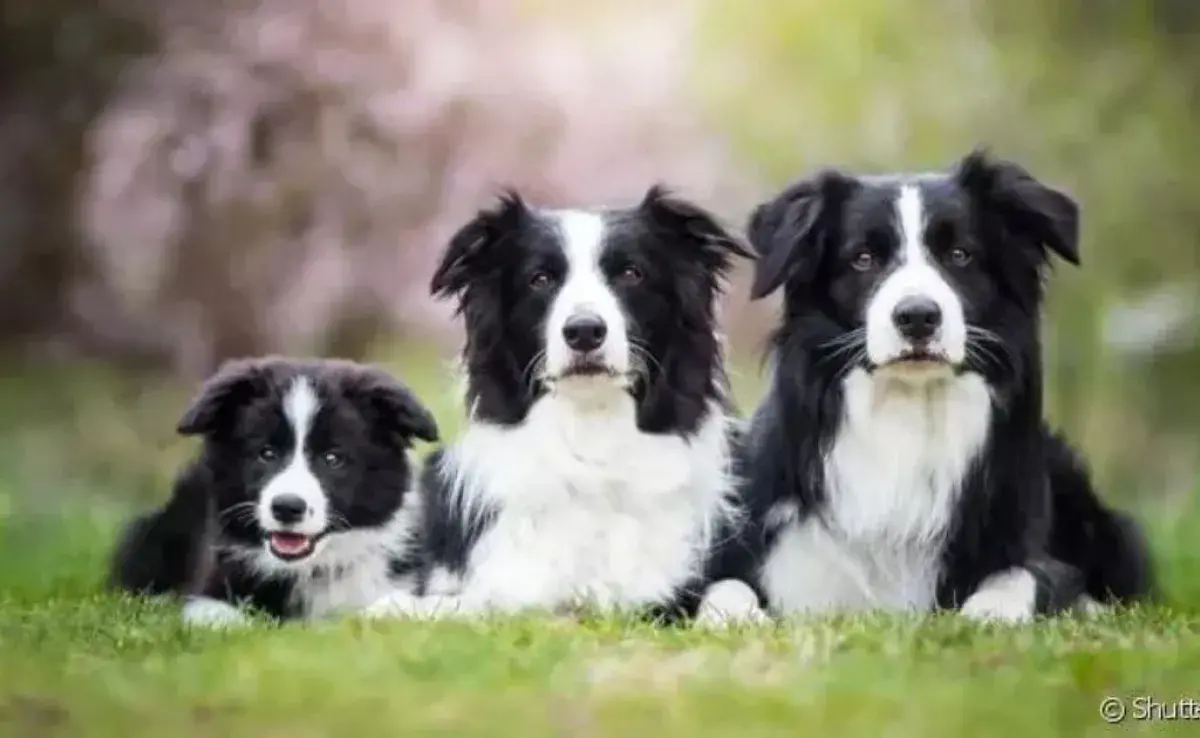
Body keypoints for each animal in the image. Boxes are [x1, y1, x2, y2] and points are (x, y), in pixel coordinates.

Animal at [364, 184, 763, 624]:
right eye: (540, 279)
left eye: (631, 273)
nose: (584, 331)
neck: (592, 434)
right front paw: (400, 606)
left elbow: (730, 587)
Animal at [739, 150, 1152, 624]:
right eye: (863, 258)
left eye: (960, 255)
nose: (918, 316)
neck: (908, 412)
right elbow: (729, 588)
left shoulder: (1025, 548)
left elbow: (1023, 576)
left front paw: (987, 614)